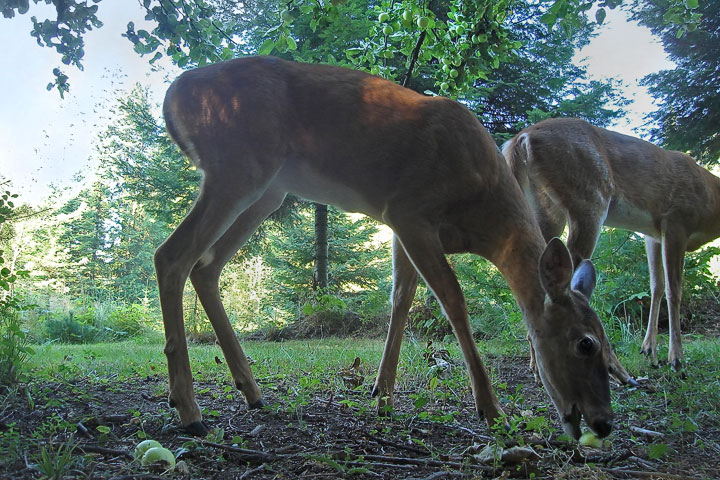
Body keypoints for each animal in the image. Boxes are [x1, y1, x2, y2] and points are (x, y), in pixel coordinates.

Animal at [156, 56, 612, 438]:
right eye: (585, 343)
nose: (603, 423)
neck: (483, 214)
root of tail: (174, 94)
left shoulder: (400, 229)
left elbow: (401, 299)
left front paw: (382, 394)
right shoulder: (411, 211)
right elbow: (453, 300)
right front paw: (490, 409)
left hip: (268, 190)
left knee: (206, 265)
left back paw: (251, 391)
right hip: (238, 165)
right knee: (171, 255)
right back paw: (189, 409)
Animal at [504, 117, 720, 372]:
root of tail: (522, 138)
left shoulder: (653, 234)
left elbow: (656, 285)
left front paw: (649, 350)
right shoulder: (676, 221)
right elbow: (673, 288)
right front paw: (676, 358)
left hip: (544, 207)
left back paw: (536, 363)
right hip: (588, 200)